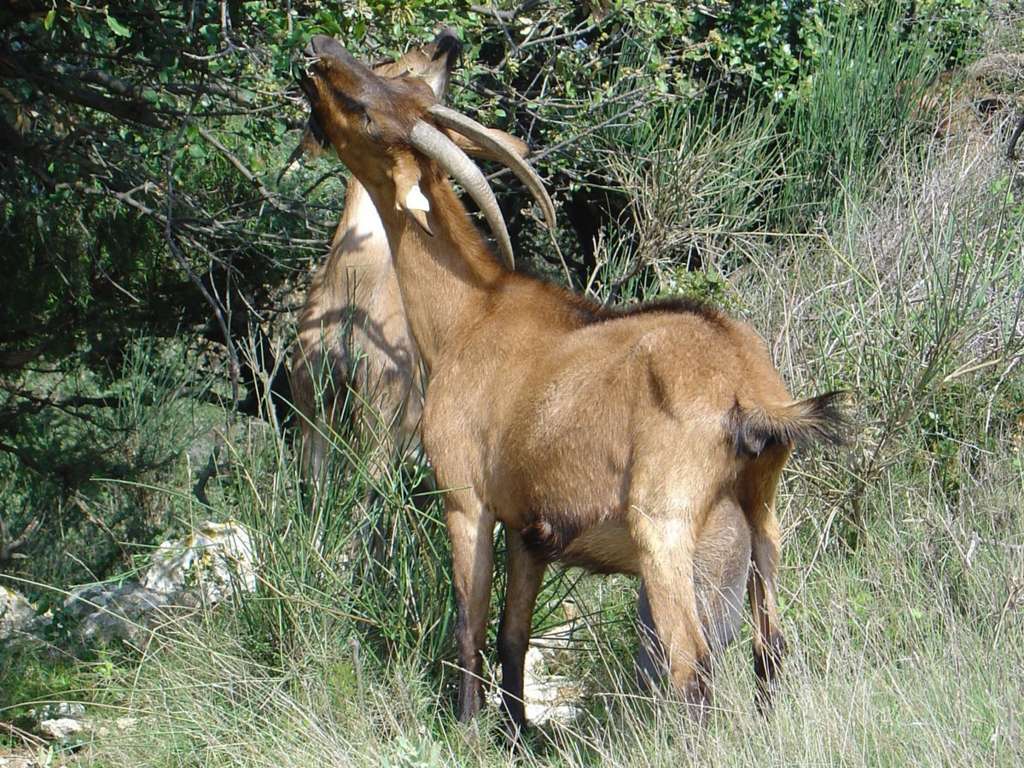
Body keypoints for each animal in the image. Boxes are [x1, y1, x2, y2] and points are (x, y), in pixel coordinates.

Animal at [299, 37, 843, 733]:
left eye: (368, 110)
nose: (319, 53)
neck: (472, 313)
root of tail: (753, 397)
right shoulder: (531, 530)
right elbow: (513, 634)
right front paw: (514, 735)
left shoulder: (467, 499)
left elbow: (470, 627)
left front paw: (469, 729)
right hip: (764, 529)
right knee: (769, 648)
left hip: (665, 530)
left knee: (691, 668)